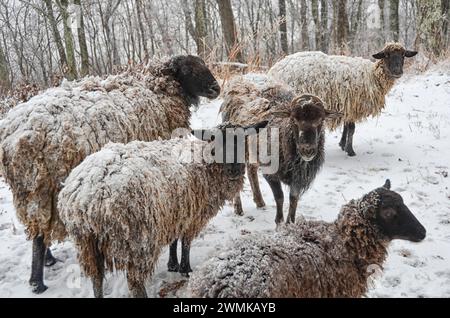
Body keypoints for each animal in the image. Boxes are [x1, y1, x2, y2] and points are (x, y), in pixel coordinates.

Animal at [0, 54, 220, 294]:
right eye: (188, 69)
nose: (216, 88)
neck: (160, 95)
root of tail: (12, 139)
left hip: (32, 192)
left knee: (39, 228)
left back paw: (47, 261)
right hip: (43, 185)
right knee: (39, 236)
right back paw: (37, 282)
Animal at [56, 121, 268, 298]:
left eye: (243, 141)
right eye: (217, 144)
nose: (234, 170)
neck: (204, 164)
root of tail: (88, 198)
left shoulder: (175, 213)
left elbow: (174, 241)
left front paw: (173, 265)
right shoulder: (192, 216)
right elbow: (186, 242)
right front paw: (185, 269)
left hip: (86, 243)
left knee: (96, 279)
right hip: (136, 241)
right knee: (135, 283)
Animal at [220, 74, 340, 224]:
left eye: (321, 120)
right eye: (294, 119)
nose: (307, 150)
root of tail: (243, 77)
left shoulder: (298, 178)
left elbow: (293, 199)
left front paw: (290, 223)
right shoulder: (270, 172)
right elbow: (279, 197)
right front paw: (279, 221)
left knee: (251, 170)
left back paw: (260, 202)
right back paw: (238, 208)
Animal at [268, 42, 418, 157]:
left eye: (403, 55)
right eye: (387, 55)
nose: (398, 72)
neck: (372, 76)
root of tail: (273, 71)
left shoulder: (346, 106)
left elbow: (346, 127)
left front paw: (342, 144)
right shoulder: (352, 104)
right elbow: (351, 128)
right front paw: (350, 151)